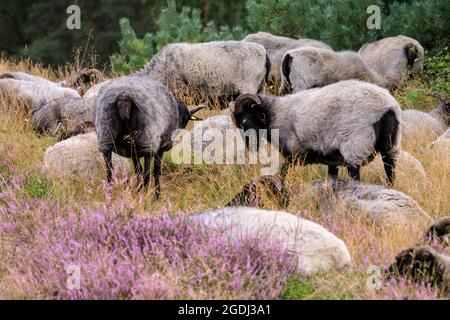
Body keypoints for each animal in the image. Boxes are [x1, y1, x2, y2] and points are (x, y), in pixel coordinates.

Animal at [232, 80, 400, 184]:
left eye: (243, 121)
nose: (250, 147)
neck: (276, 113)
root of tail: (387, 107)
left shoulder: (295, 153)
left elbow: (283, 173)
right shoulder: (332, 159)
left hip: (355, 146)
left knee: (356, 176)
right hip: (391, 146)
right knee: (390, 173)